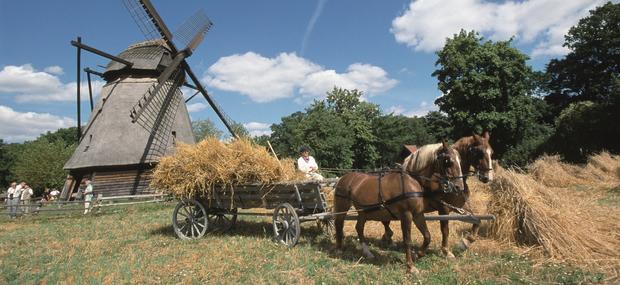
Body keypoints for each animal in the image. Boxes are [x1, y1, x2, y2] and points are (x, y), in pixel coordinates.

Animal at [334, 141, 460, 272]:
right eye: (448, 161)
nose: (458, 187)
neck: (412, 180)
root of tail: (343, 178)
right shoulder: (406, 215)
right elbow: (407, 240)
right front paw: (410, 266)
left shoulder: (418, 214)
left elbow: (427, 236)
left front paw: (418, 255)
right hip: (342, 206)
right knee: (339, 224)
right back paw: (339, 249)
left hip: (363, 211)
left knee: (359, 228)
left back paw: (368, 253)